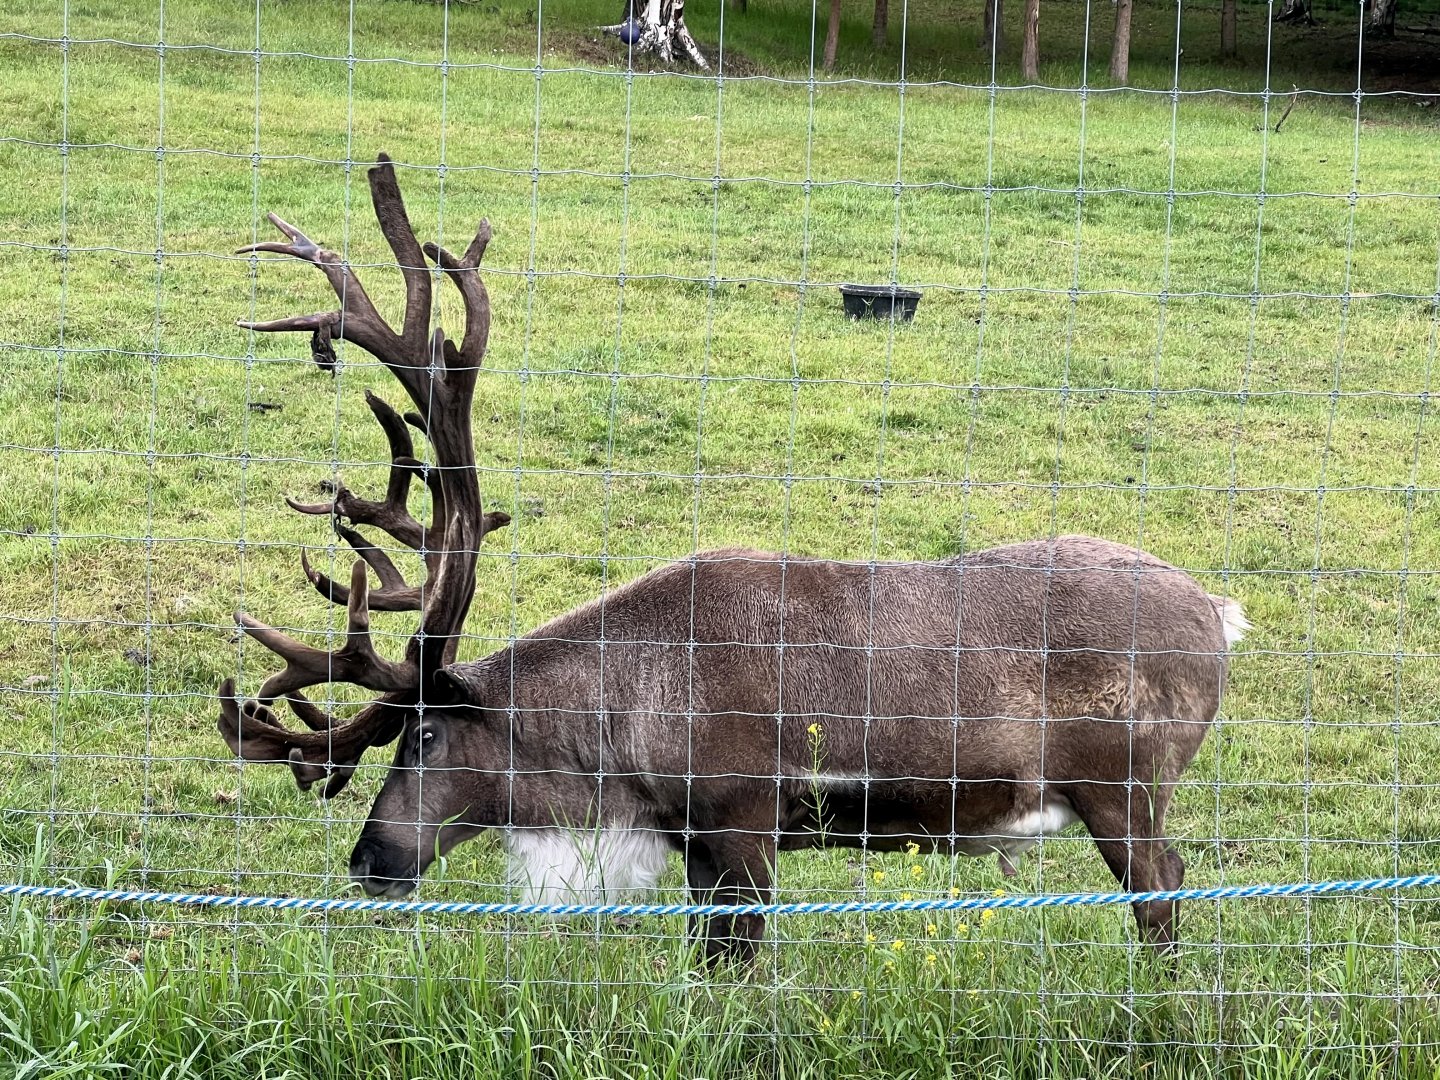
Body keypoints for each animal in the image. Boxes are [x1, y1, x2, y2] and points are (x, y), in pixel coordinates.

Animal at [218, 154, 1250, 966]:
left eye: (425, 735)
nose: (370, 862)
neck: (623, 738)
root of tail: (1221, 613)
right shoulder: (699, 847)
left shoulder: (748, 822)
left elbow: (740, 970)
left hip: (1126, 787)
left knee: (1164, 885)